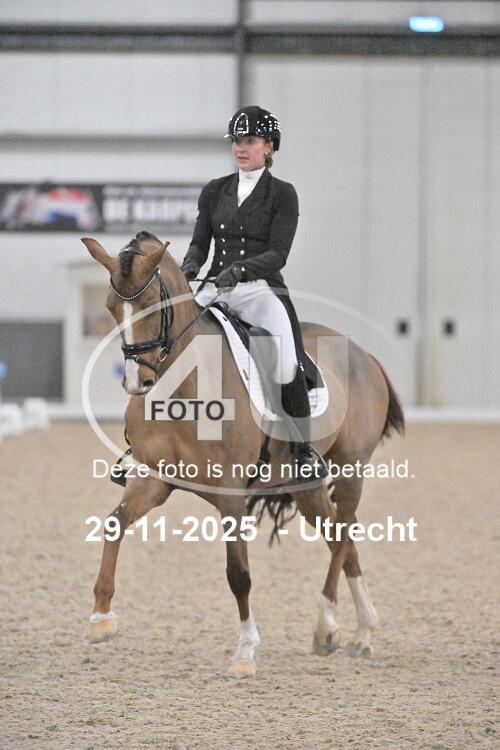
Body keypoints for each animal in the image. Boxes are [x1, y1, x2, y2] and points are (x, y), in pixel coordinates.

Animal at [82, 232, 404, 676]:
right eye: (112, 307)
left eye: (151, 306)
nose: (137, 382)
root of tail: (363, 354)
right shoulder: (153, 480)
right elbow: (113, 525)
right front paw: (101, 618)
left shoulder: (232, 494)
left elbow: (238, 573)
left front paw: (245, 651)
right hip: (306, 486)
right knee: (340, 537)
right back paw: (359, 631)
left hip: (351, 467)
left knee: (342, 535)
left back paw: (328, 626)